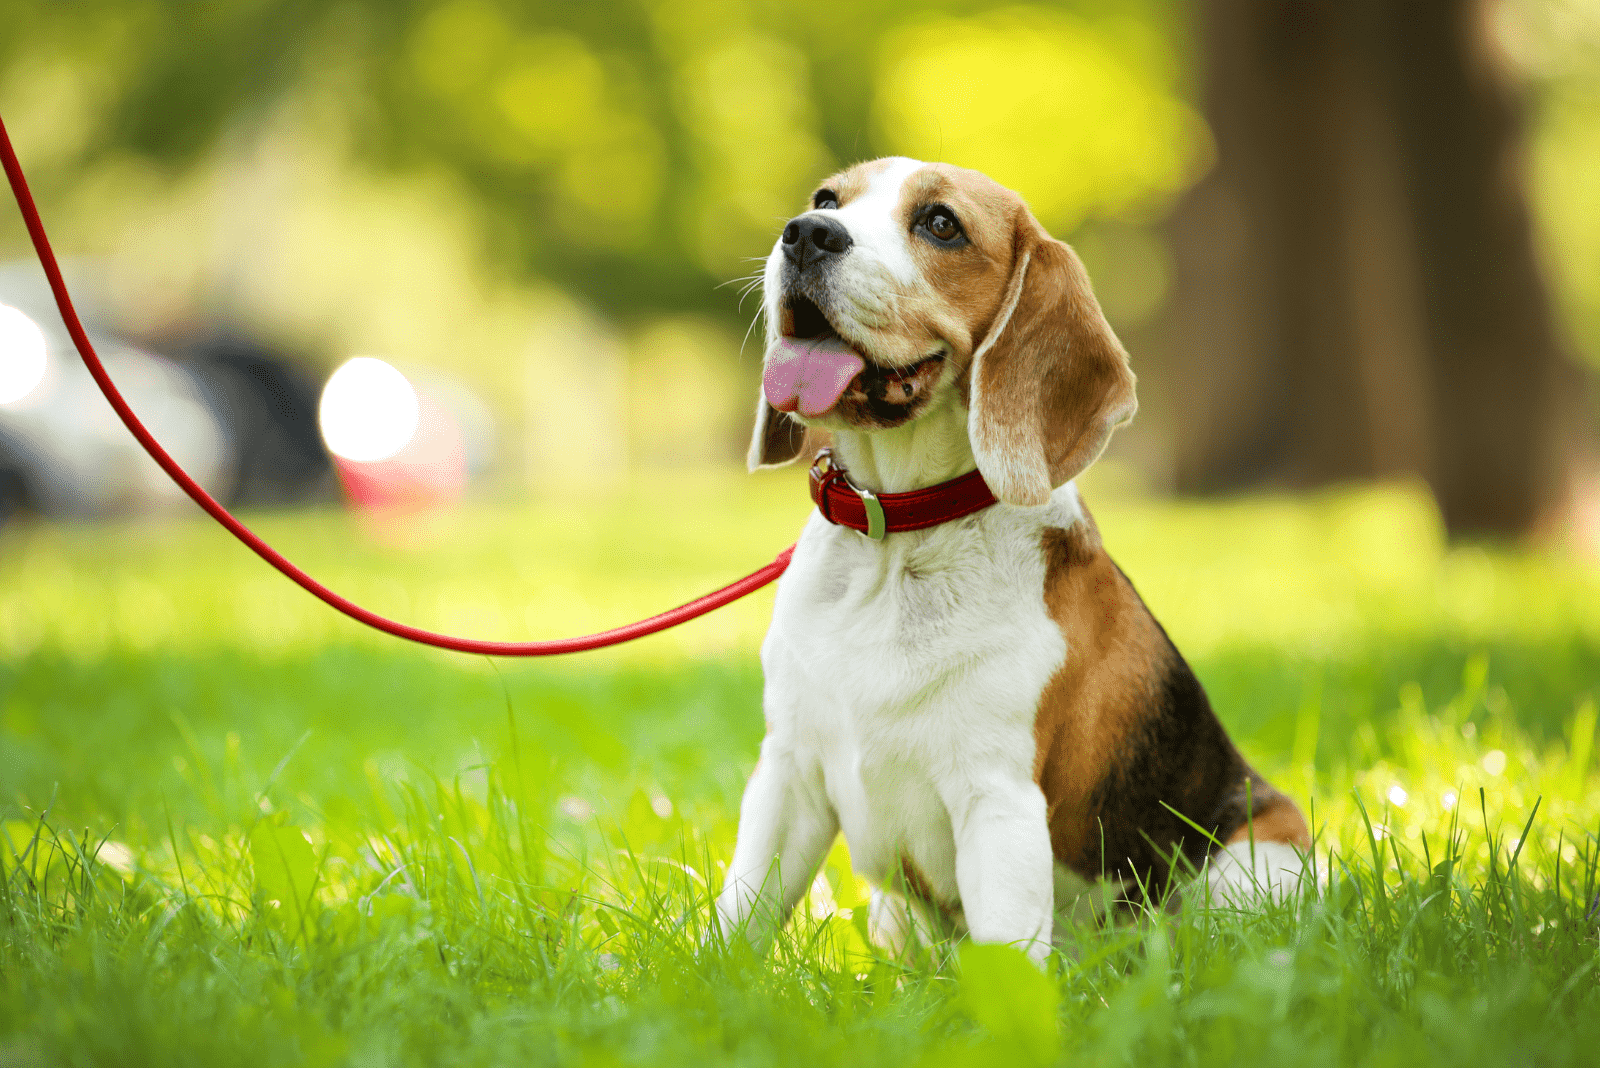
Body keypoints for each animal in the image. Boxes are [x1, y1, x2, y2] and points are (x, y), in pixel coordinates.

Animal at [716, 156, 1312, 959]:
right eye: (825, 200)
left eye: (941, 224)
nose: (806, 234)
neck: (896, 536)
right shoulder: (788, 775)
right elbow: (736, 919)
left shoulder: (996, 800)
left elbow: (1003, 962)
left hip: (1251, 867)